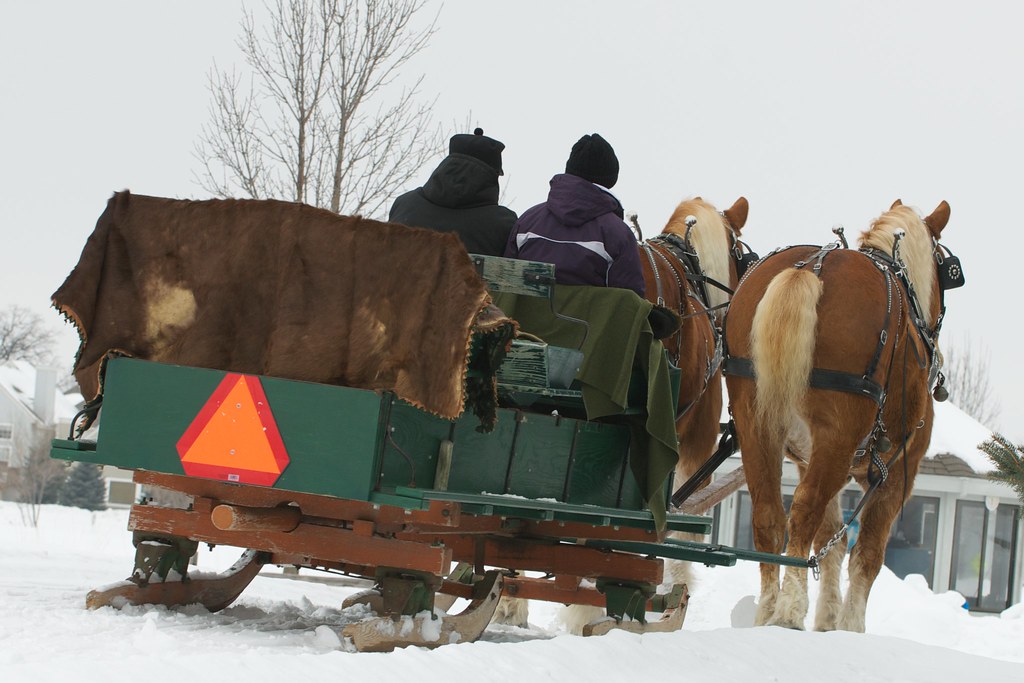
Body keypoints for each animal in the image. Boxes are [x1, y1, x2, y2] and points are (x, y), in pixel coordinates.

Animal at [722, 199, 958, 632]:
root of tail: (810, 266)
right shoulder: (897, 471)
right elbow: (868, 554)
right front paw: (850, 626)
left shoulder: (808, 457)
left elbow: (830, 540)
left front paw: (828, 620)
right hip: (840, 437)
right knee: (803, 510)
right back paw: (789, 609)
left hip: (757, 425)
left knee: (769, 516)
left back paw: (767, 611)